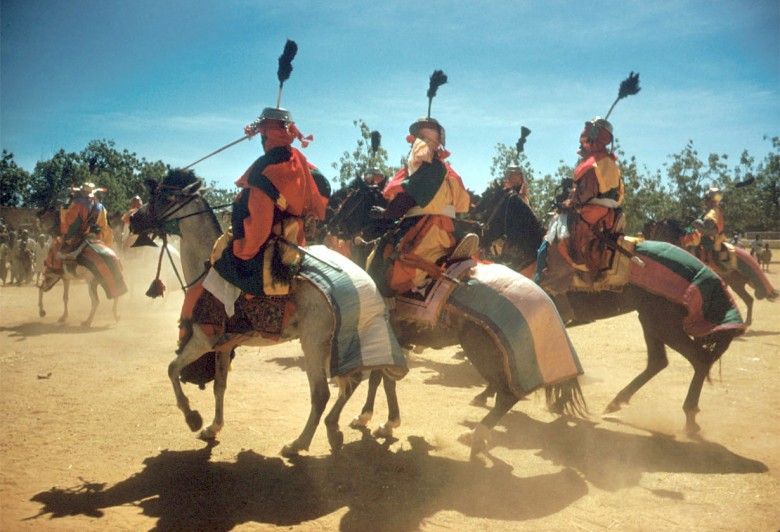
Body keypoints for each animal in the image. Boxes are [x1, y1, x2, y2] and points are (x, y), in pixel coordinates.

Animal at [133, 169, 584, 458]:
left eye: (163, 197)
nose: (134, 218)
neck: (208, 266)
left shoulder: (205, 337)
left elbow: (173, 370)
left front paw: (193, 419)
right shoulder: (225, 343)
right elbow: (222, 385)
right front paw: (211, 426)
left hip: (463, 347)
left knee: (506, 392)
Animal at [466, 189, 748, 434]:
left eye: (487, 205)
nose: (477, 235)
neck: (535, 254)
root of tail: (703, 272)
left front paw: (491, 393)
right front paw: (558, 399)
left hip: (664, 325)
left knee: (698, 360)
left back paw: (689, 417)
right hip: (650, 321)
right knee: (658, 362)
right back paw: (616, 402)